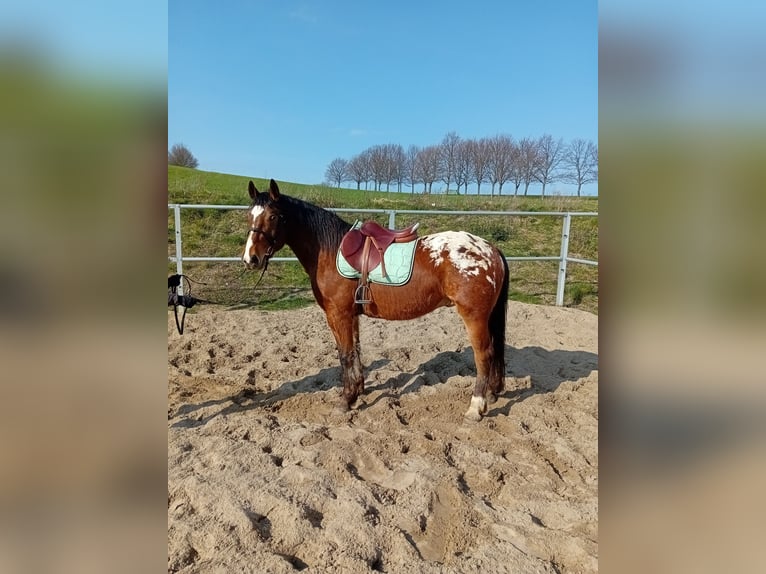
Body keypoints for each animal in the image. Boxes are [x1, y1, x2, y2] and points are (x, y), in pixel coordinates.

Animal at [243, 180, 512, 424]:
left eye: (274, 216)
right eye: (249, 216)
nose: (250, 259)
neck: (329, 251)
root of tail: (491, 249)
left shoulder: (338, 314)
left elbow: (345, 355)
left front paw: (345, 400)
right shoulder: (350, 315)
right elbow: (356, 352)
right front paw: (357, 391)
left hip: (474, 316)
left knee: (484, 354)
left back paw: (475, 408)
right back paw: (492, 393)